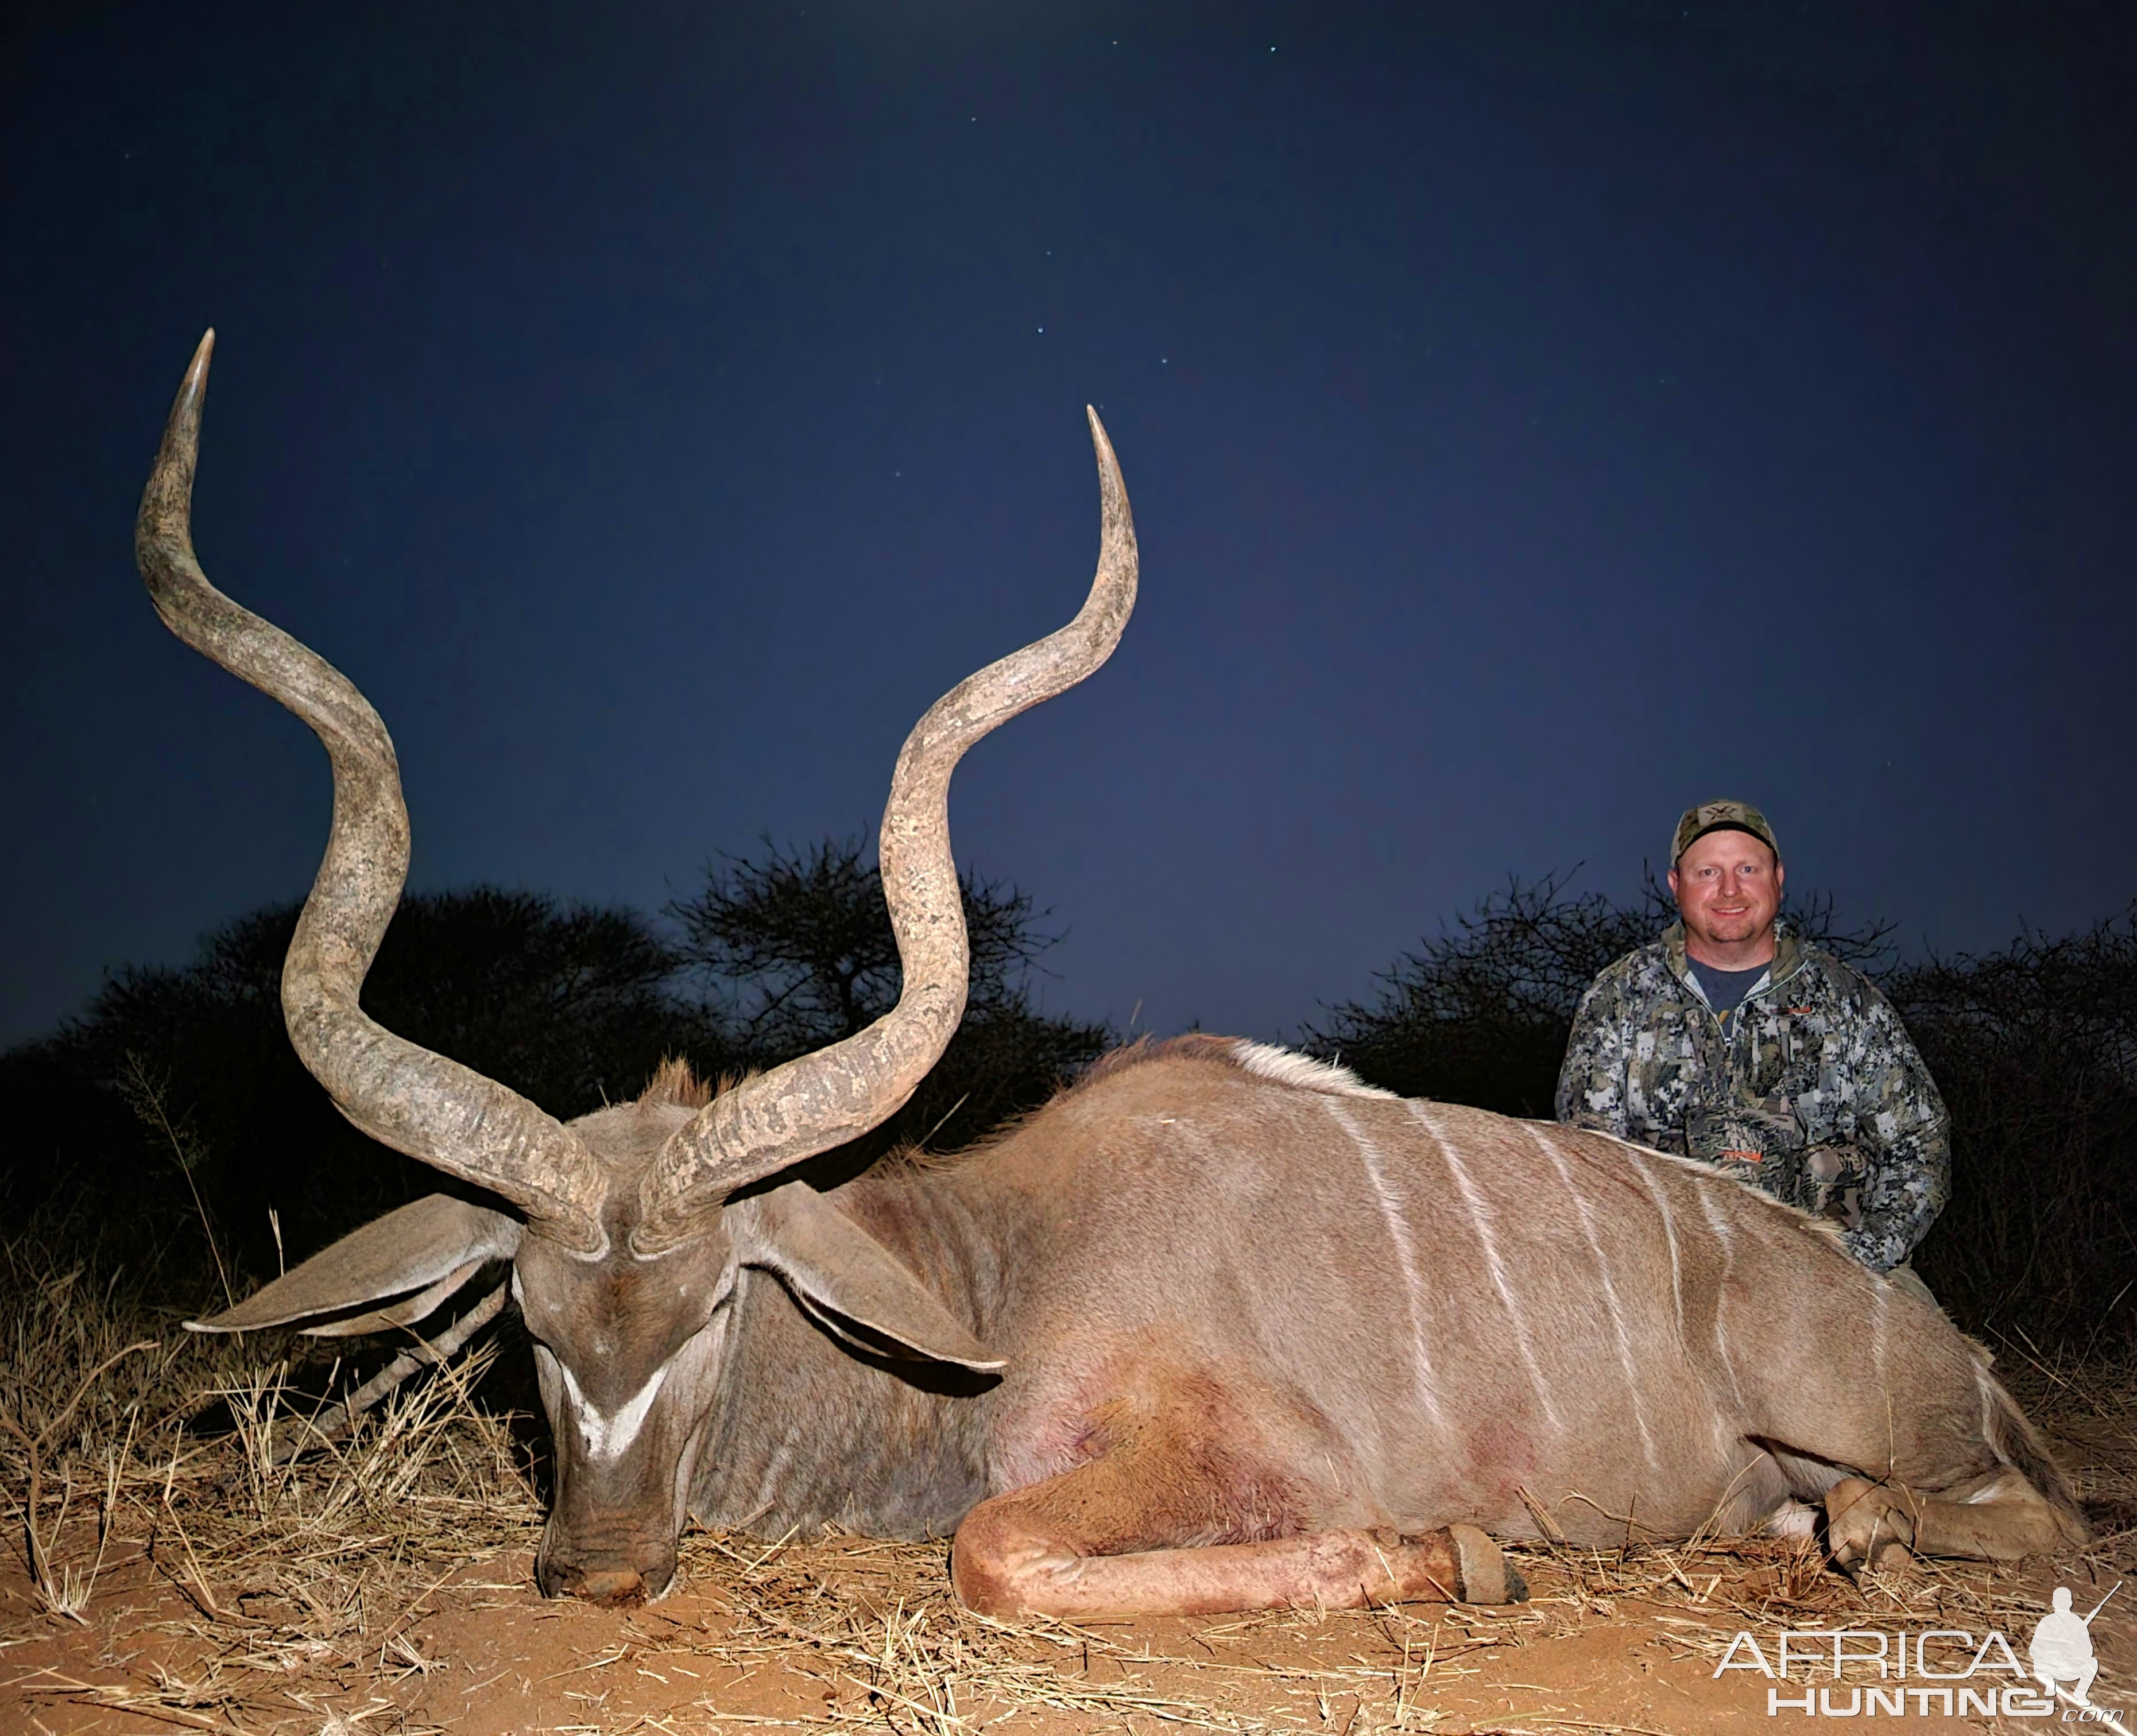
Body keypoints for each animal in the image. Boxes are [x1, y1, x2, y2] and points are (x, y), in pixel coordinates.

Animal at [146, 331, 2085, 1625]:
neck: (993, 1282)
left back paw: (1867, 1539)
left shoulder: (1241, 1466)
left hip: (1878, 1429)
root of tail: (1926, 1325)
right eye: (533, 1333)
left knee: (2030, 1518)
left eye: (711, 1309)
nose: (600, 1570)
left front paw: (1451, 1554)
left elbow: (996, 1553)